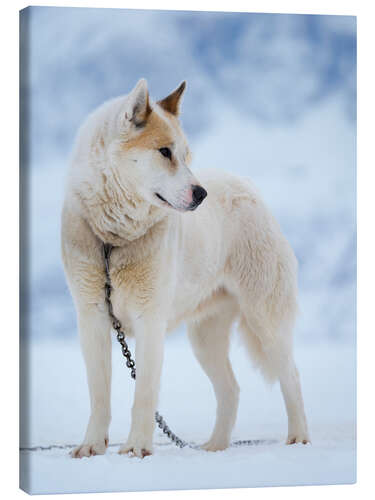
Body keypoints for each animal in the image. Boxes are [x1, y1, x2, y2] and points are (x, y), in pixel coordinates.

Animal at [61, 78, 310, 458]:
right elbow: (99, 395)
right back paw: (214, 448)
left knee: (291, 377)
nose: (201, 194)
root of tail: (246, 186)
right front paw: (91, 446)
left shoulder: (150, 320)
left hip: (265, 319)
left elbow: (144, 394)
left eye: (186, 155)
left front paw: (136, 448)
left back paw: (298, 439)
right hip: (205, 338)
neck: (113, 240)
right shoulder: (92, 318)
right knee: (231, 389)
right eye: (165, 152)